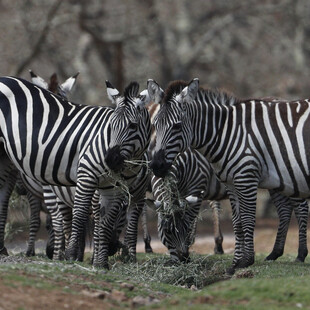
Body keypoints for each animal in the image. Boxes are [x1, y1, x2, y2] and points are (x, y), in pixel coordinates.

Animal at [0, 76, 151, 268]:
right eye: (110, 125)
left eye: (133, 125)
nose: (110, 160)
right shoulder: (87, 175)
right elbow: (80, 214)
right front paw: (72, 255)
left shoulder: (116, 189)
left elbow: (106, 223)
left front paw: (101, 263)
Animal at [149, 78, 308, 272]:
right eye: (155, 124)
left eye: (177, 126)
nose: (156, 166)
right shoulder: (228, 183)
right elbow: (237, 222)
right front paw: (236, 262)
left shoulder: (217, 182)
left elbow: (244, 219)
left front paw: (245, 260)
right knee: (285, 210)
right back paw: (274, 253)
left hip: (291, 173)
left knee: (300, 208)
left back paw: (300, 254)